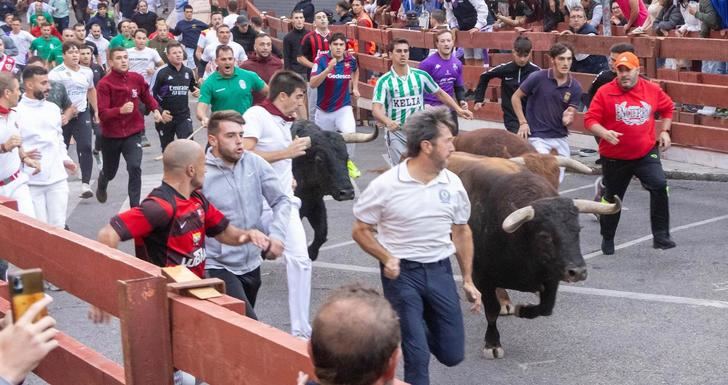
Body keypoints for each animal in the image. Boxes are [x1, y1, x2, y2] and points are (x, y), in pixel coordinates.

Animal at [292, 121, 378, 260]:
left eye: (347, 157)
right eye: (319, 159)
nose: (347, 193)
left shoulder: (316, 204)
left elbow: (322, 233)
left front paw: (311, 253)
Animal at [450, 152, 620, 356]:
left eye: (578, 230)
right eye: (544, 235)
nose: (578, 272)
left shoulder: (552, 275)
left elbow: (546, 308)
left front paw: (522, 310)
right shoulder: (483, 276)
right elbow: (491, 310)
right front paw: (492, 344)